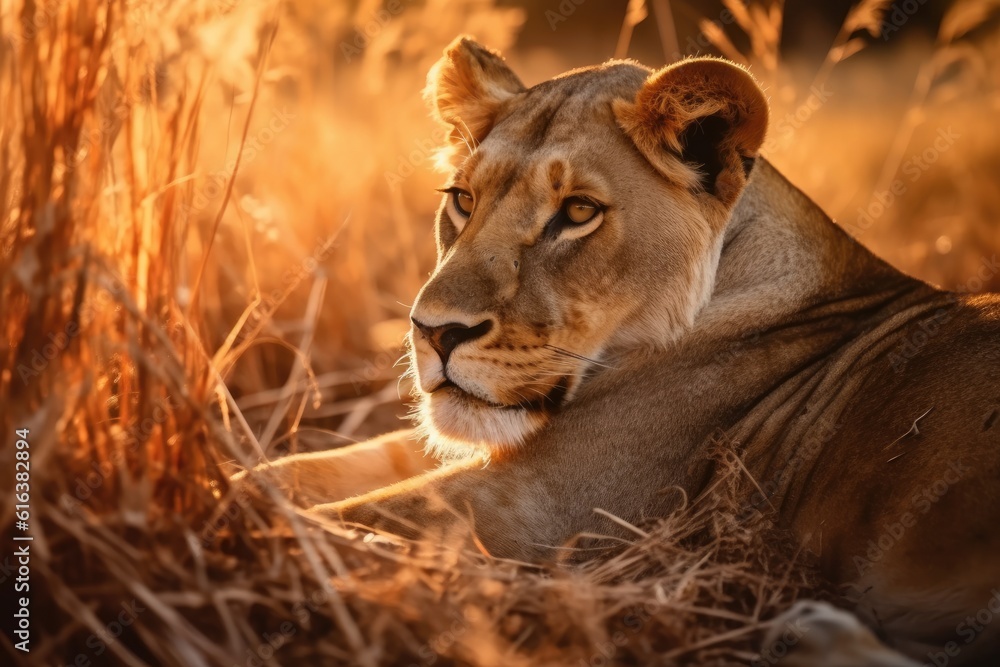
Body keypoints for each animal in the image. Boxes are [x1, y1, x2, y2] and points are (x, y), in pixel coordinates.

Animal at [235, 38, 1000, 663]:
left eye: (578, 212)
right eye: (462, 198)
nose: (434, 330)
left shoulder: (542, 507)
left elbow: (320, 514)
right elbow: (300, 473)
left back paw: (809, 633)